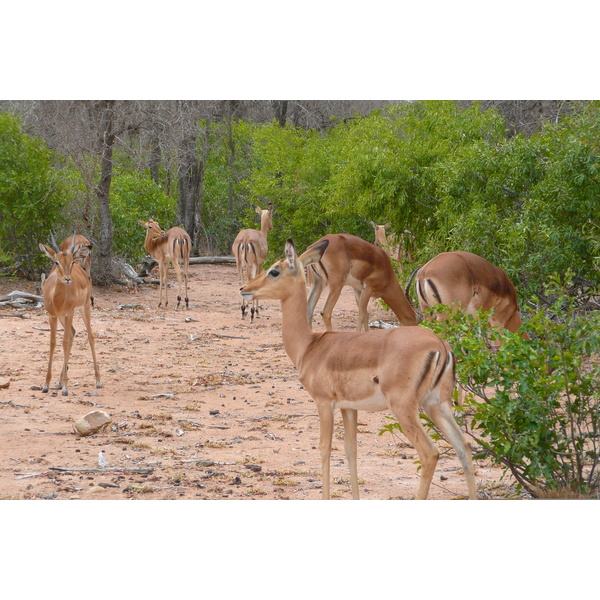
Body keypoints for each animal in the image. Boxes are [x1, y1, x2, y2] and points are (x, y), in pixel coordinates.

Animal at [38, 232, 101, 396]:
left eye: (71, 261)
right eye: (57, 262)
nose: (67, 279)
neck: (57, 299)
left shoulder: (69, 313)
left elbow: (65, 342)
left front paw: (66, 388)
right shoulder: (52, 316)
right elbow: (53, 343)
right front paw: (46, 385)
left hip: (84, 309)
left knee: (90, 337)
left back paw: (98, 381)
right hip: (62, 317)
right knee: (72, 333)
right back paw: (59, 381)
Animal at [240, 240, 478, 502]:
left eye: (274, 270)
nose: (244, 289)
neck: (309, 345)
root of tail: (440, 346)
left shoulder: (324, 403)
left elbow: (325, 448)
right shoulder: (349, 408)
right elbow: (351, 449)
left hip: (405, 408)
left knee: (430, 454)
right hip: (436, 404)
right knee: (464, 447)